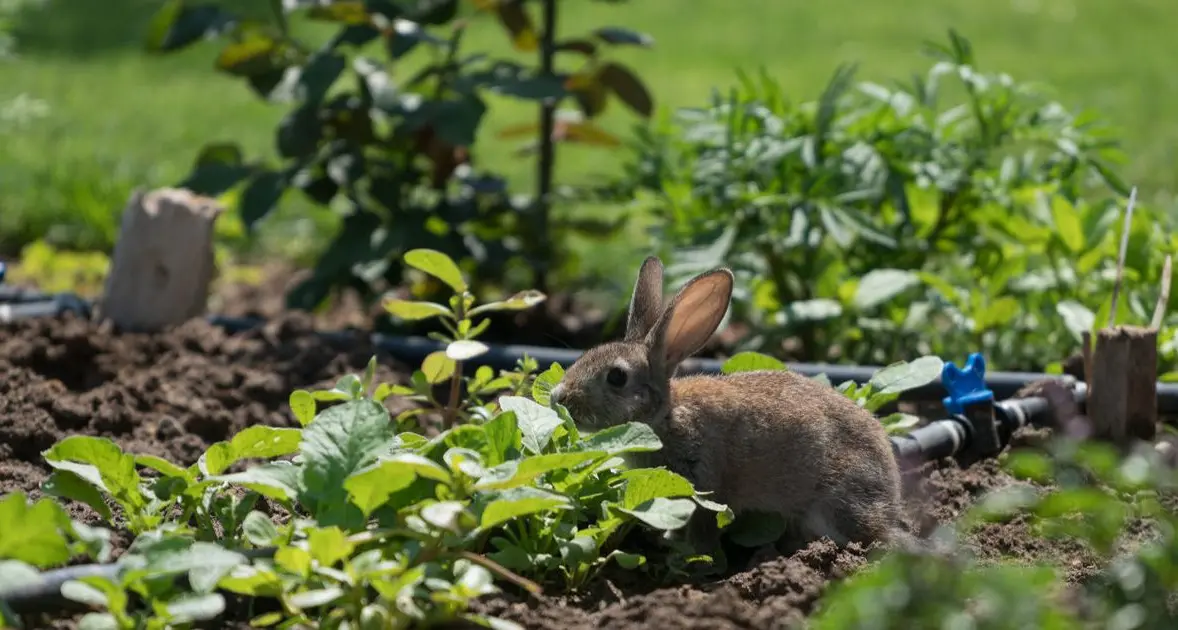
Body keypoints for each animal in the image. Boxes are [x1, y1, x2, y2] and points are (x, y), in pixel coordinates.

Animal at [549, 256, 909, 556]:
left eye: (617, 377)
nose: (558, 397)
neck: (665, 418)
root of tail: (891, 500)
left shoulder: (704, 486)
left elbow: (703, 526)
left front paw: (693, 557)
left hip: (833, 505)